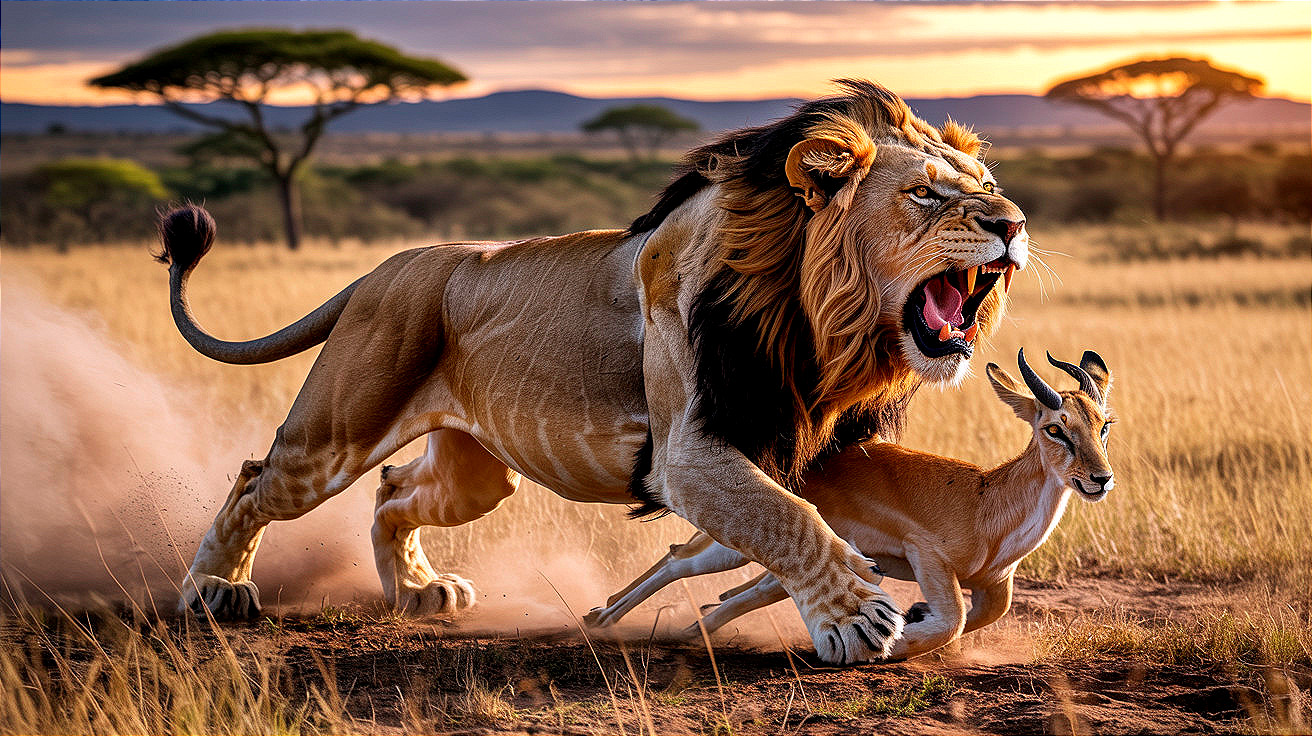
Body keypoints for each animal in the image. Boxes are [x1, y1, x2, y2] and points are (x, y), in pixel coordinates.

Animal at [160, 80, 1027, 664]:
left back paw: (417, 591)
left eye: (988, 189)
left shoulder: (818, 442)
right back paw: (213, 591)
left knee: (394, 490)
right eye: (925, 195)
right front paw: (853, 616)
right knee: (259, 477)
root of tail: (388, 267)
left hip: (479, 476)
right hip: (337, 433)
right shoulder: (687, 455)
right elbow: (789, 519)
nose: (1014, 225)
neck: (815, 320)